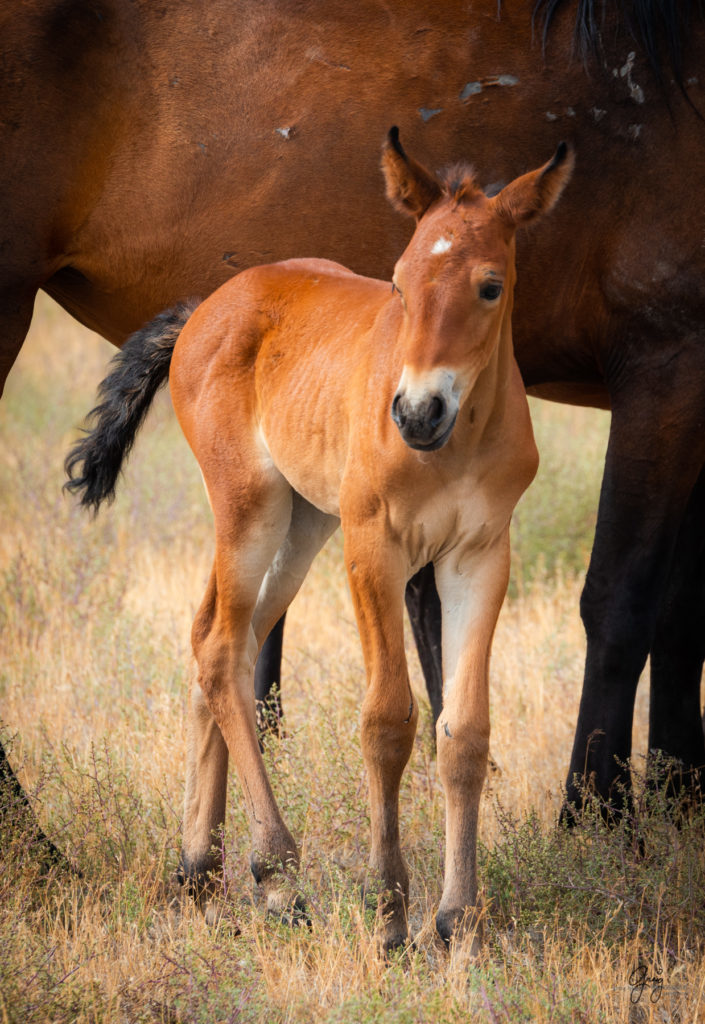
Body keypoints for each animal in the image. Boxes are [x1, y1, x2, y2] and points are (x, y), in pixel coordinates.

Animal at [66, 130, 573, 950]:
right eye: (398, 282)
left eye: (490, 286)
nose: (416, 412)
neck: (455, 444)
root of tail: (204, 308)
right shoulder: (373, 548)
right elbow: (389, 718)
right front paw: (390, 912)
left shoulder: (481, 556)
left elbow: (463, 731)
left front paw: (459, 921)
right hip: (251, 508)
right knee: (220, 646)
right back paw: (275, 873)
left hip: (303, 524)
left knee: (219, 639)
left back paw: (200, 866)